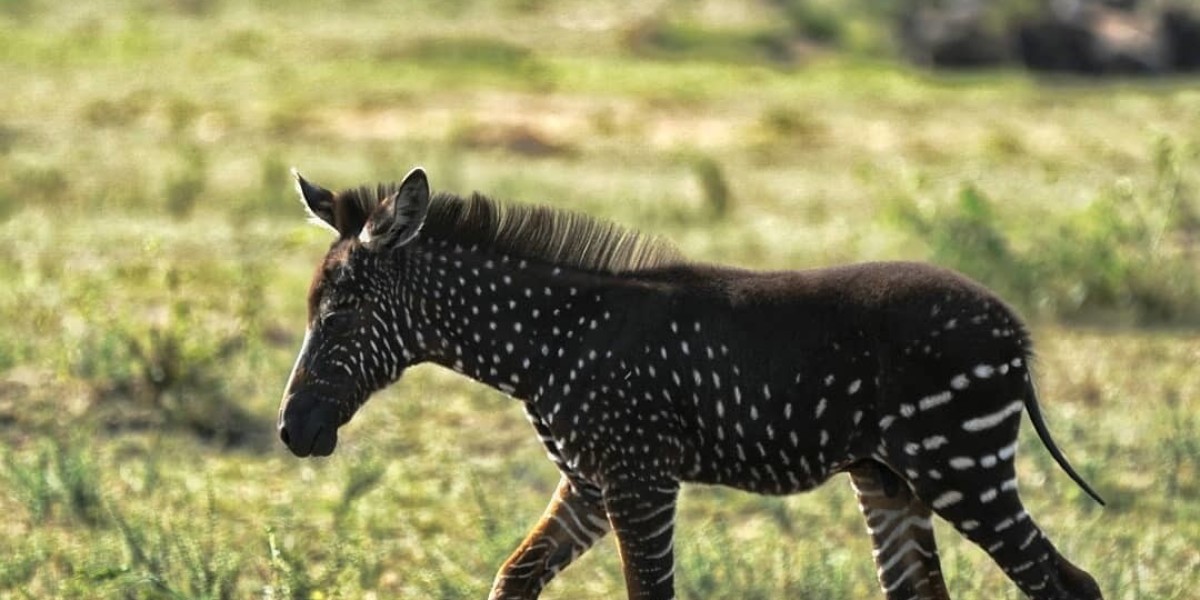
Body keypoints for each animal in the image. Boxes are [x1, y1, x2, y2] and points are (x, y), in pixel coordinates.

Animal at [276, 168, 1099, 600]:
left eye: (340, 316)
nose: (292, 431)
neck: (551, 342)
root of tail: (1013, 329)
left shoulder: (639, 478)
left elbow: (648, 593)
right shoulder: (590, 484)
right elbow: (514, 578)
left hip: (963, 468)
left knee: (1065, 584)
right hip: (893, 478)